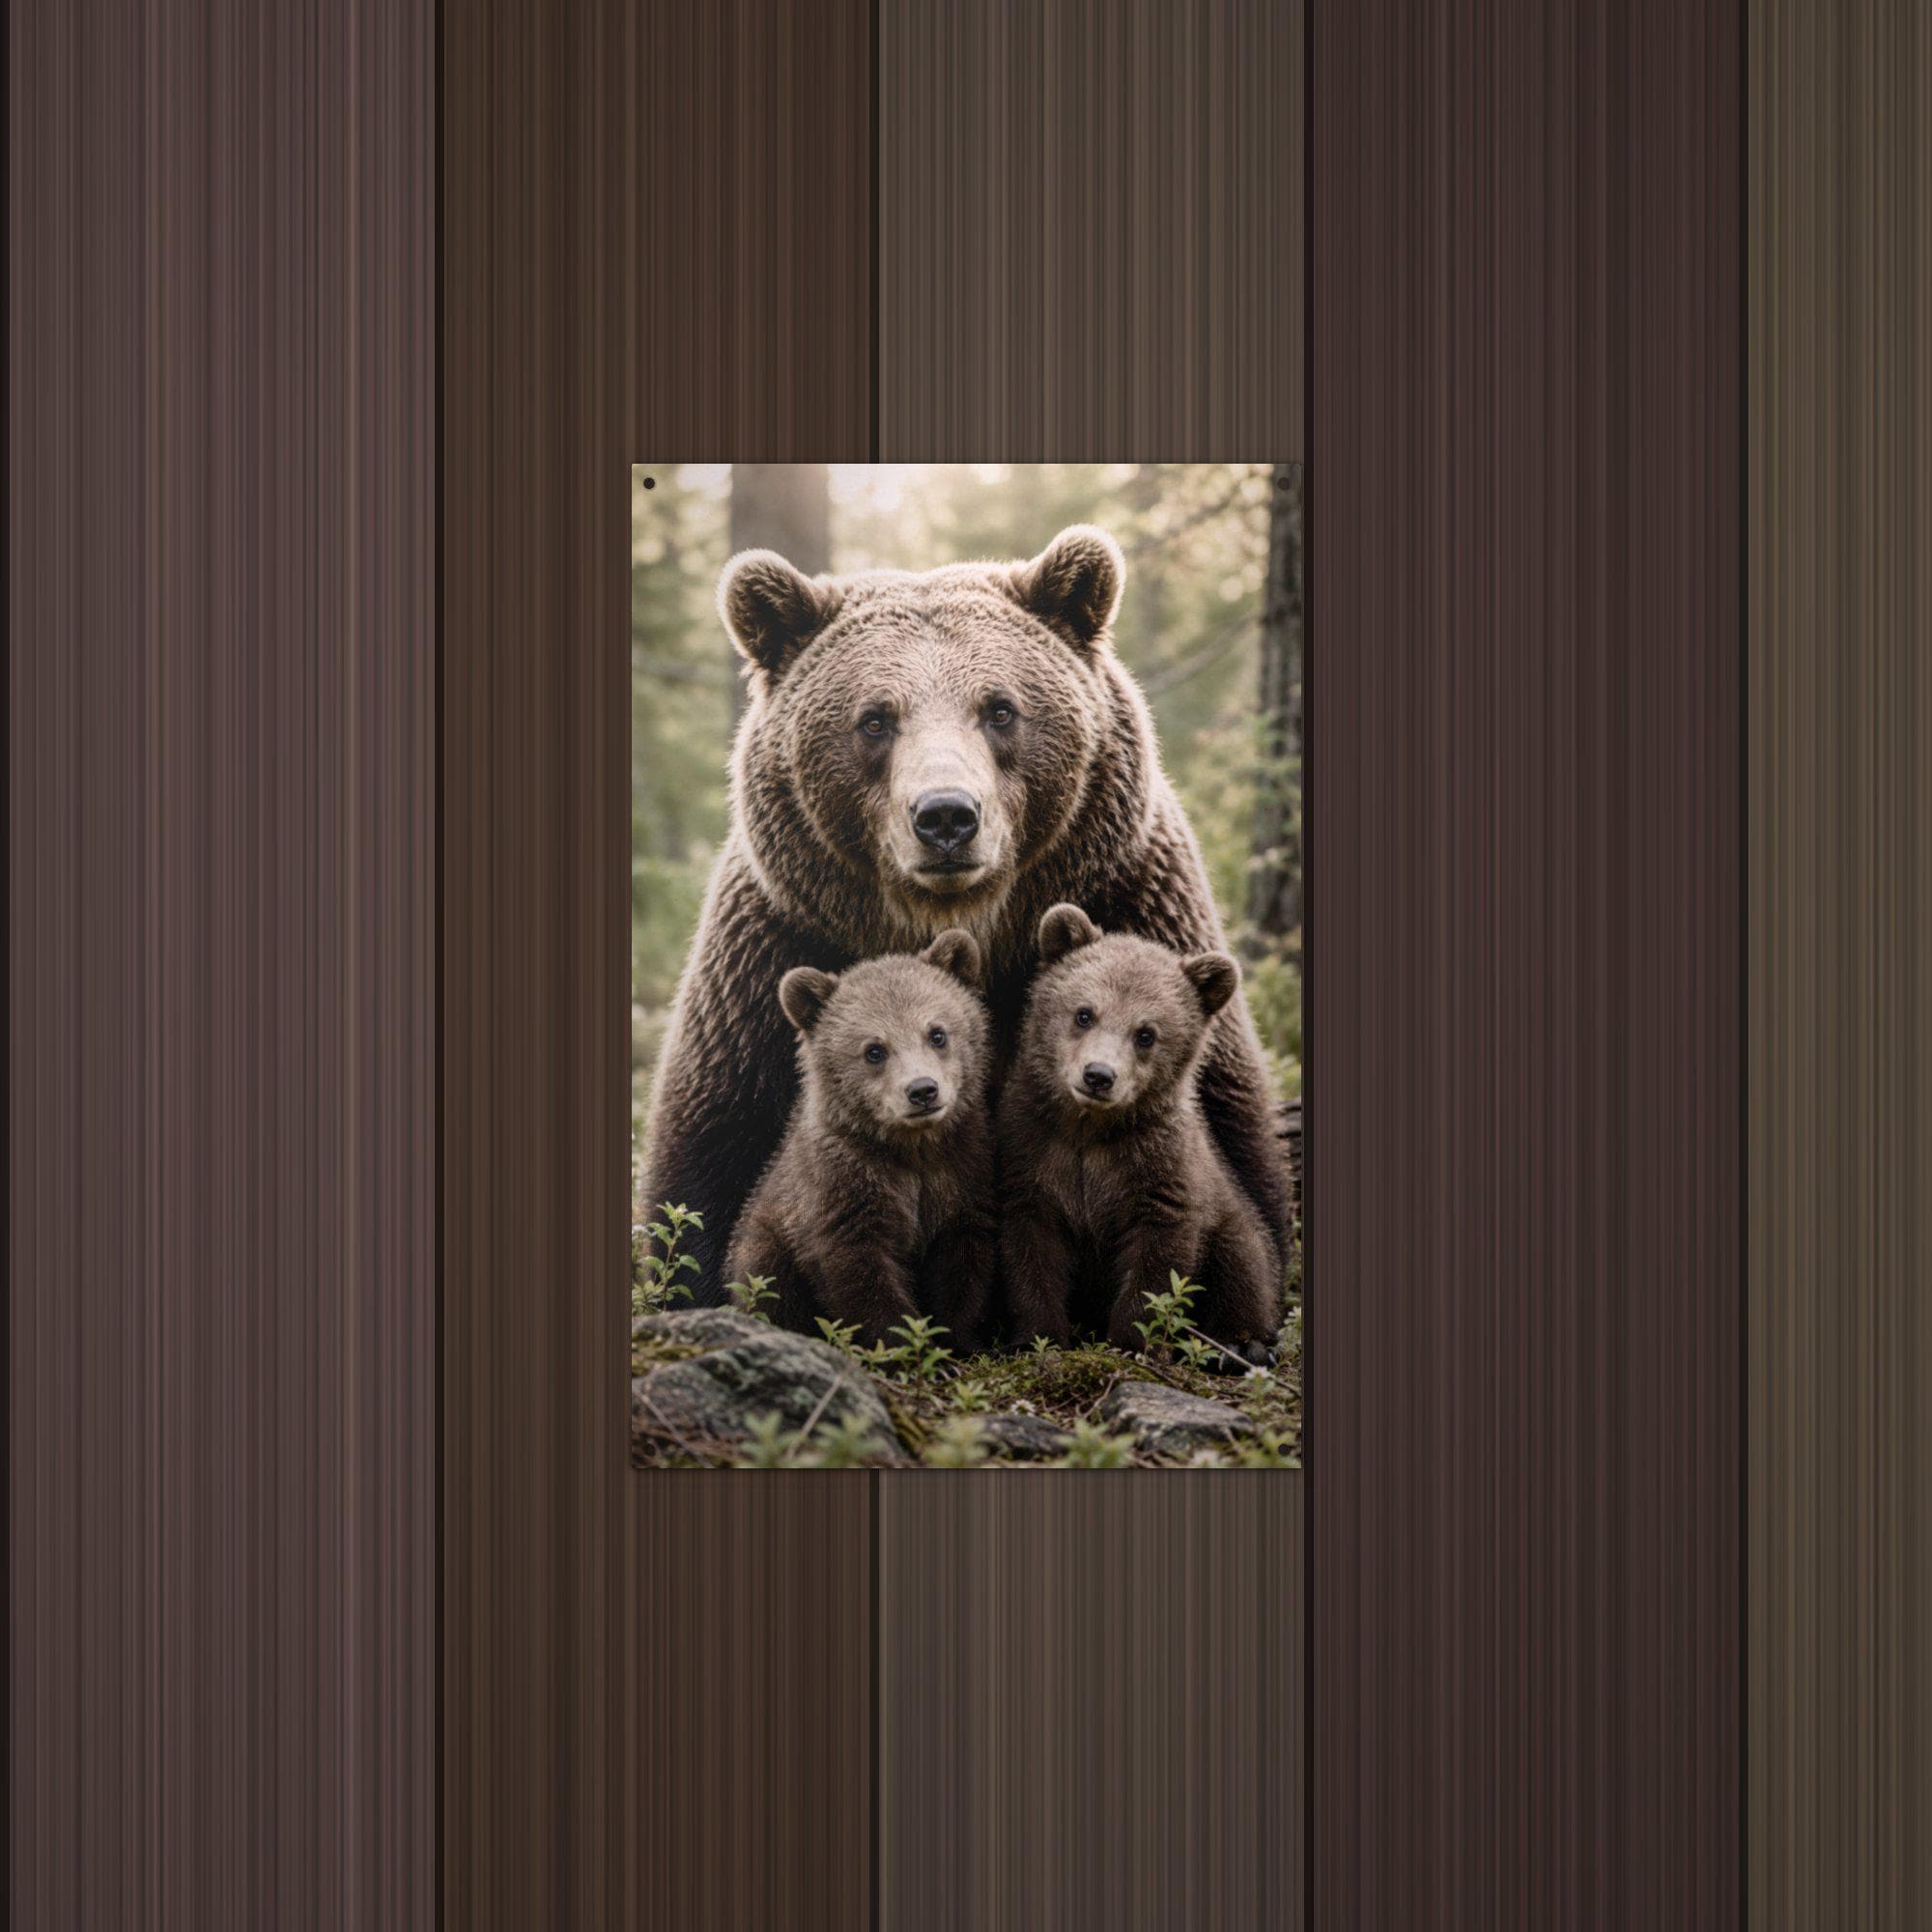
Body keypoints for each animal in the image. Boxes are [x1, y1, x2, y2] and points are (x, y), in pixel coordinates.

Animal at [639, 522, 1289, 1306]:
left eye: (1000, 708)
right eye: (875, 718)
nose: (946, 815)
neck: (969, 923)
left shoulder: (1136, 899)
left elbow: (1230, 1136)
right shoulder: (775, 949)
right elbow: (708, 1160)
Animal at [723, 930, 997, 1350]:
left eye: (937, 1033)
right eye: (874, 1050)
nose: (922, 1090)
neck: (912, 1149)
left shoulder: (961, 1172)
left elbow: (963, 1263)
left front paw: (957, 1340)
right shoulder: (844, 1184)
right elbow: (860, 1271)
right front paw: (902, 1344)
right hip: (766, 1240)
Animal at [997, 904, 1281, 1365]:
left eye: (1146, 1033)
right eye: (1084, 1013)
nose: (1098, 1075)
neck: (1090, 1131)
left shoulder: (1159, 1168)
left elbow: (1158, 1261)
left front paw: (1133, 1343)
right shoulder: (1032, 1153)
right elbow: (1029, 1251)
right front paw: (1037, 1338)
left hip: (1228, 1215)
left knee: (1243, 1262)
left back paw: (1241, 1343)